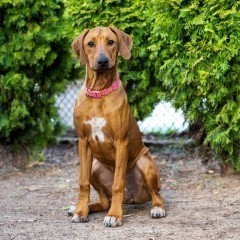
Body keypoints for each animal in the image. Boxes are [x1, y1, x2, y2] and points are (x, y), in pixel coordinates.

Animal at [67, 26, 165, 227]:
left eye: (111, 42)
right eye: (90, 43)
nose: (103, 61)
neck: (99, 92)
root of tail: (131, 198)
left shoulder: (121, 142)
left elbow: (118, 183)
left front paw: (114, 216)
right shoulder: (83, 142)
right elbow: (83, 182)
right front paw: (81, 211)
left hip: (145, 164)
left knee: (156, 194)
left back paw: (157, 208)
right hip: (95, 167)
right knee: (105, 201)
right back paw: (84, 207)